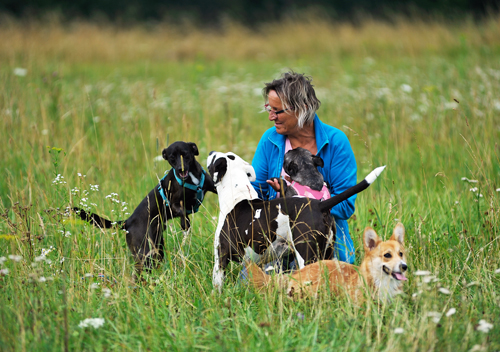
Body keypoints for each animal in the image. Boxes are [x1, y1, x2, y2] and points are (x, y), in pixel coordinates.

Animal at [74, 142, 215, 274]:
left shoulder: (212, 186)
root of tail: (127, 222)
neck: (191, 179)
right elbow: (182, 212)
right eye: (172, 157)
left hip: (157, 248)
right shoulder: (173, 203)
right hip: (144, 252)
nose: (181, 169)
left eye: (185, 154)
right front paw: (185, 223)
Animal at [205, 150, 384, 290]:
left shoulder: (220, 258)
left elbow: (217, 285)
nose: (210, 152)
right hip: (328, 254)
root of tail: (319, 204)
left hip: (306, 255)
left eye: (214, 158)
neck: (237, 195)